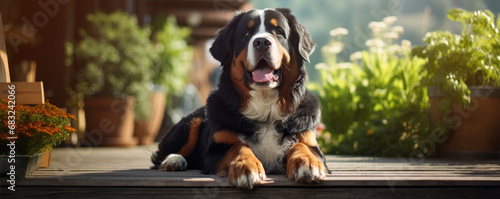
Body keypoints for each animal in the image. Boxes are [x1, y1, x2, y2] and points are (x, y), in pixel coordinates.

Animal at [150, 7, 326, 189]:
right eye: (246, 33)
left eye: (278, 32)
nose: (262, 42)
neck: (265, 106)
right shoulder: (217, 148)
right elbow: (238, 146)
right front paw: (246, 167)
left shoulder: (308, 138)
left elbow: (301, 145)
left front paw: (307, 163)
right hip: (193, 121)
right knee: (162, 155)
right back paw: (173, 160)